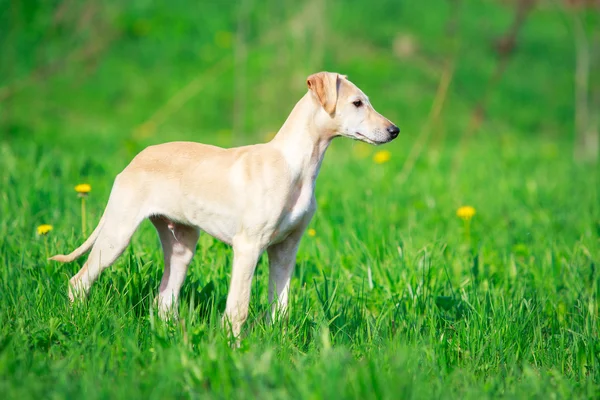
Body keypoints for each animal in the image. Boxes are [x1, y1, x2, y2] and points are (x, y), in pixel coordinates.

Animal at [51, 72, 398, 338]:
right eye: (357, 103)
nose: (394, 131)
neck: (295, 165)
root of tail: (134, 161)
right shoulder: (248, 247)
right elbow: (238, 308)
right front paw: (234, 348)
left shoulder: (286, 249)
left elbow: (280, 308)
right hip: (118, 234)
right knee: (79, 281)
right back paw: (76, 321)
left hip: (181, 246)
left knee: (164, 299)